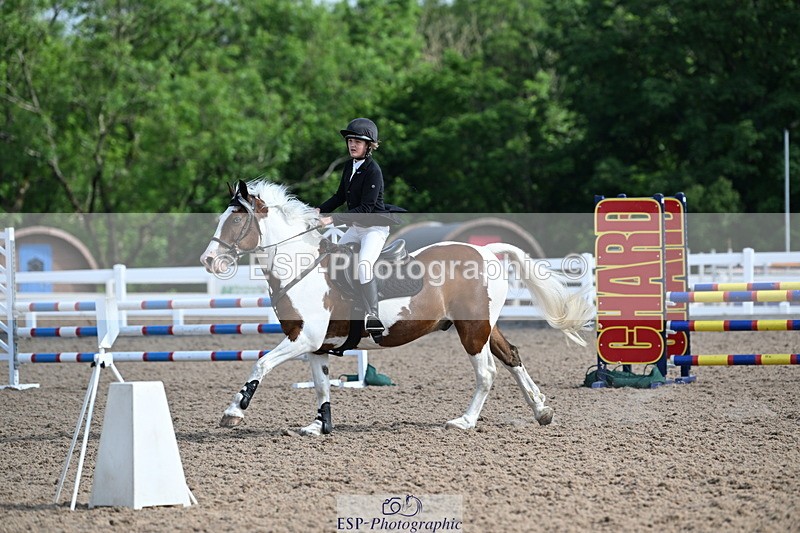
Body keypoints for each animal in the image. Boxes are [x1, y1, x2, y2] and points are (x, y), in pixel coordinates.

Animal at [201, 179, 594, 435]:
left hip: (472, 330)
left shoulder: (303, 339)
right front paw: (319, 425)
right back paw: (542, 410)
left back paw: (464, 422)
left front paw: (233, 412)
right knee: (511, 357)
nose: (208, 261)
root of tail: (485, 249)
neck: (302, 267)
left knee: (487, 373)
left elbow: (261, 363)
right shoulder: (315, 346)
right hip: (484, 326)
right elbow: (322, 385)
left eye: (236, 219)